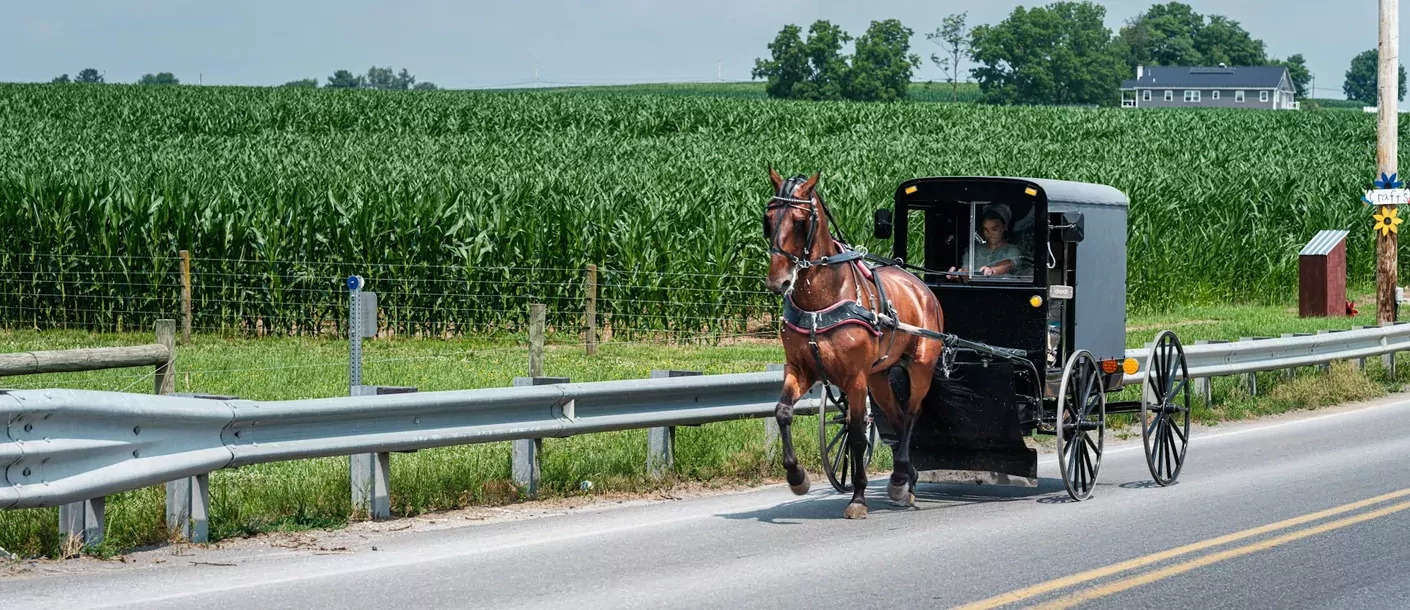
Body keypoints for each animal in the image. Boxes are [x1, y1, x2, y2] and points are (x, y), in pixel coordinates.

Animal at [761, 167, 970, 518]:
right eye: (768, 218)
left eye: (800, 222)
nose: (779, 281)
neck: (821, 302)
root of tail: (920, 286)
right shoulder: (800, 369)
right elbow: (783, 413)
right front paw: (797, 477)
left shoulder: (855, 378)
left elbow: (858, 435)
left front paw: (857, 498)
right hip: (879, 376)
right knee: (897, 419)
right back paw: (907, 478)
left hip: (920, 367)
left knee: (910, 416)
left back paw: (899, 479)